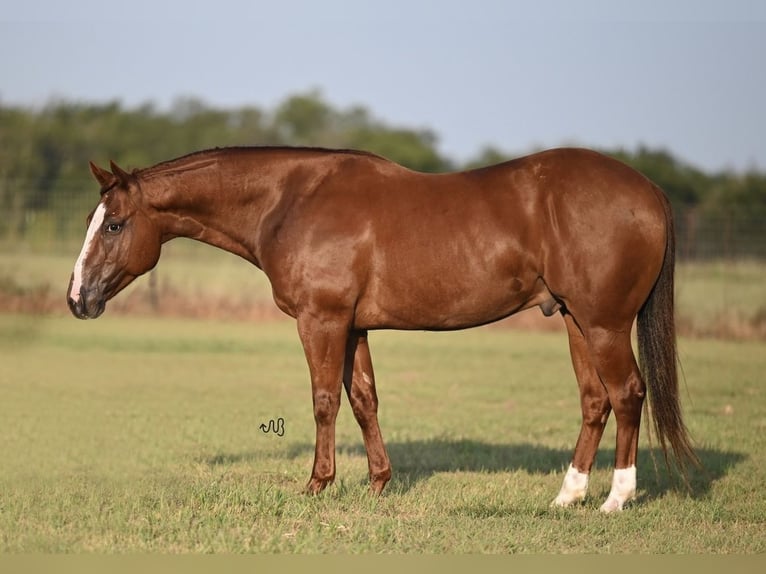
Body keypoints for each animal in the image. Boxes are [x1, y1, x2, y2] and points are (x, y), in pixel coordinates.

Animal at [69, 147, 700, 512]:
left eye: (115, 224)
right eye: (94, 221)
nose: (77, 299)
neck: (292, 199)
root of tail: (648, 191)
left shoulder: (322, 320)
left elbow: (325, 400)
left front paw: (317, 485)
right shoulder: (353, 327)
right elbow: (364, 399)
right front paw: (377, 483)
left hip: (605, 324)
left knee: (628, 394)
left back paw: (616, 500)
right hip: (574, 320)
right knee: (595, 400)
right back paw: (567, 497)